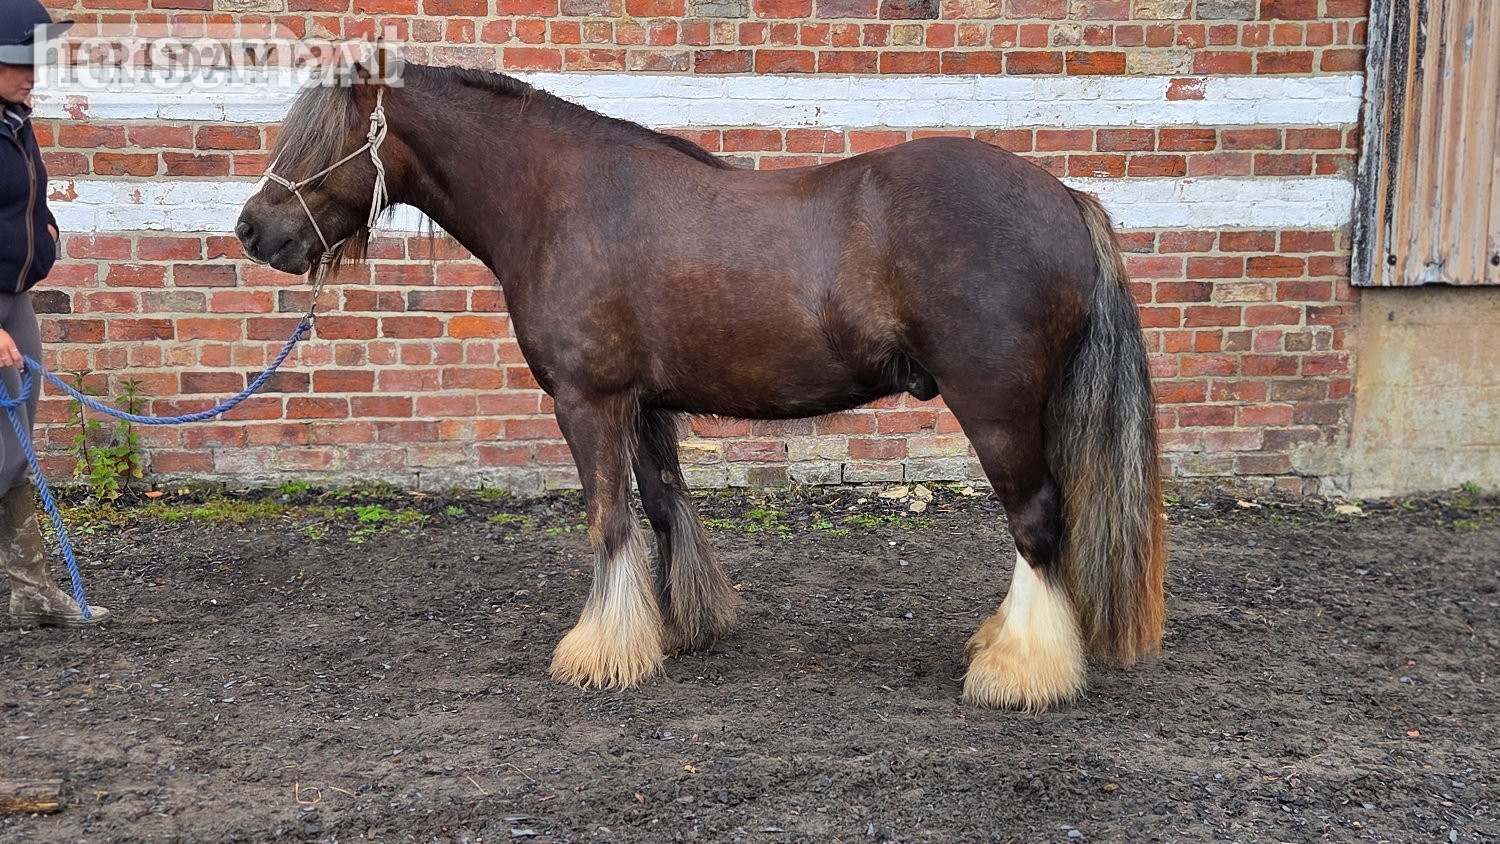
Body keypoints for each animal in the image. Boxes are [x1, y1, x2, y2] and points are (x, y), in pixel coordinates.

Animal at [236, 60, 1166, 711]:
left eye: (325, 140)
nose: (253, 230)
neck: (557, 198)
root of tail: (1066, 197)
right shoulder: (644, 405)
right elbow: (660, 507)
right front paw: (678, 628)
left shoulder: (587, 402)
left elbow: (608, 520)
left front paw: (600, 652)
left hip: (996, 407)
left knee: (1036, 521)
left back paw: (1020, 670)